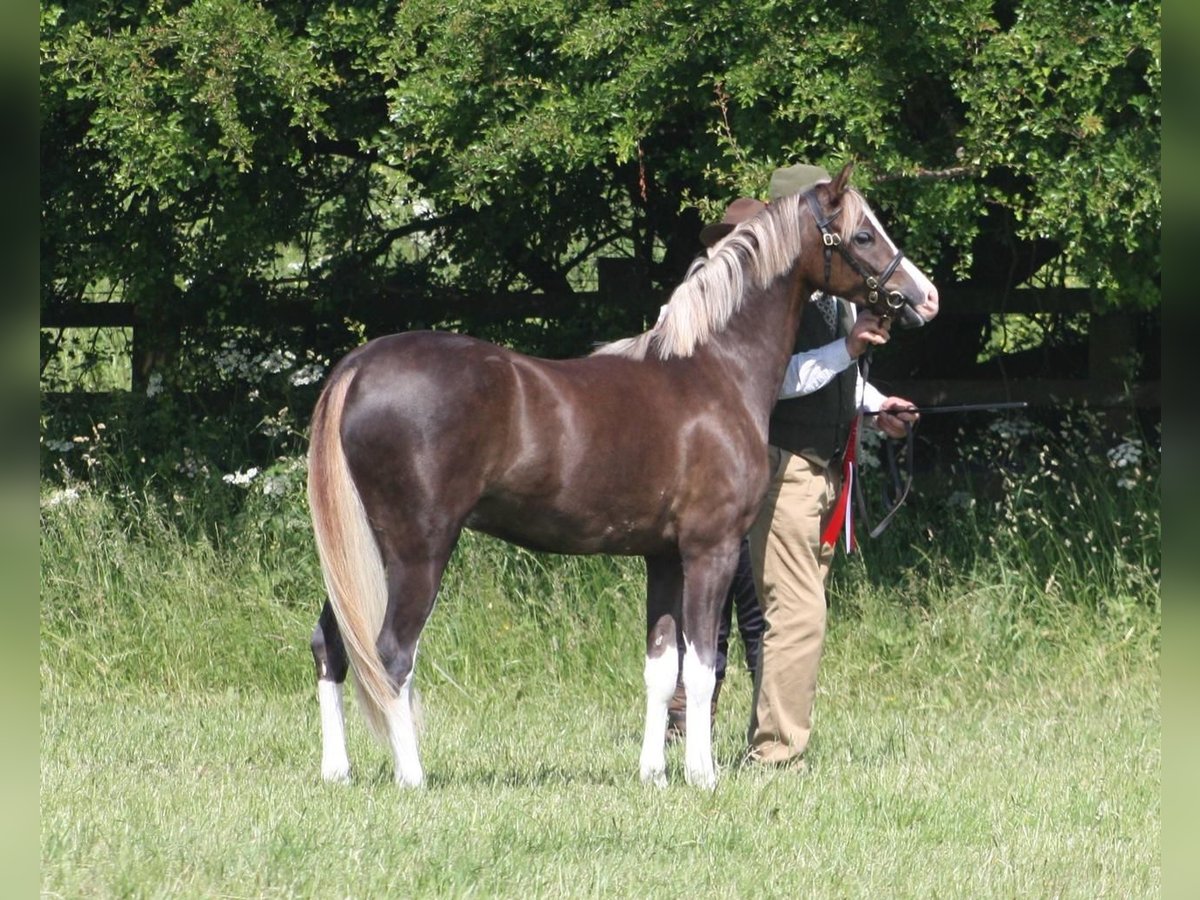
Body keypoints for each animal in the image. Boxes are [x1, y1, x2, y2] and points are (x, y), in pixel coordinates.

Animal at [302, 162, 936, 787]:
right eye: (863, 235)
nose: (924, 298)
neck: (715, 371)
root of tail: (360, 366)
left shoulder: (664, 557)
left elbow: (661, 666)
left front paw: (654, 774)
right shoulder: (710, 549)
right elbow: (700, 667)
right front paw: (702, 775)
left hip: (363, 552)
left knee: (332, 644)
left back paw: (337, 771)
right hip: (417, 551)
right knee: (390, 655)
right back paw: (412, 777)